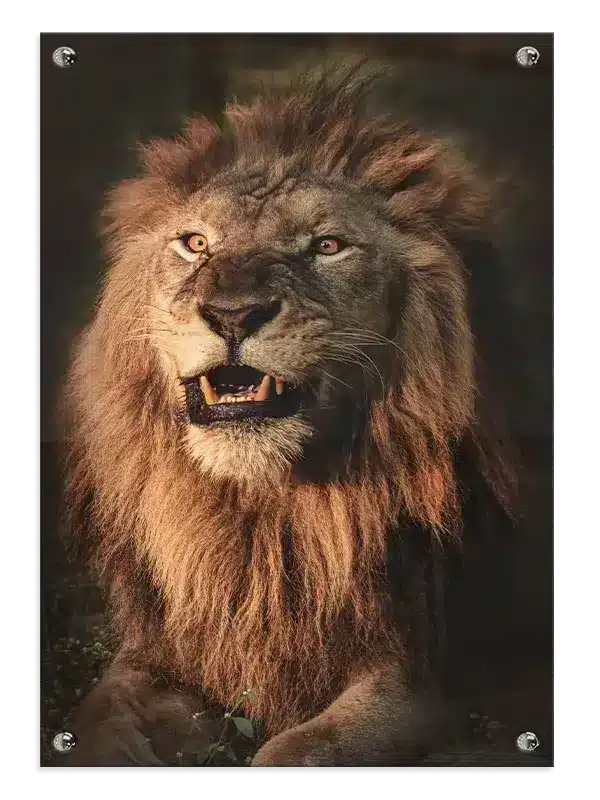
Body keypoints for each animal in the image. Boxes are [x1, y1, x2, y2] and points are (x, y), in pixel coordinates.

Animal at [62, 67, 514, 766]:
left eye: (326, 246)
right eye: (196, 244)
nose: (231, 314)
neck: (261, 513)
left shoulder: (418, 678)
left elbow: (297, 752)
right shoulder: (157, 657)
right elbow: (96, 726)